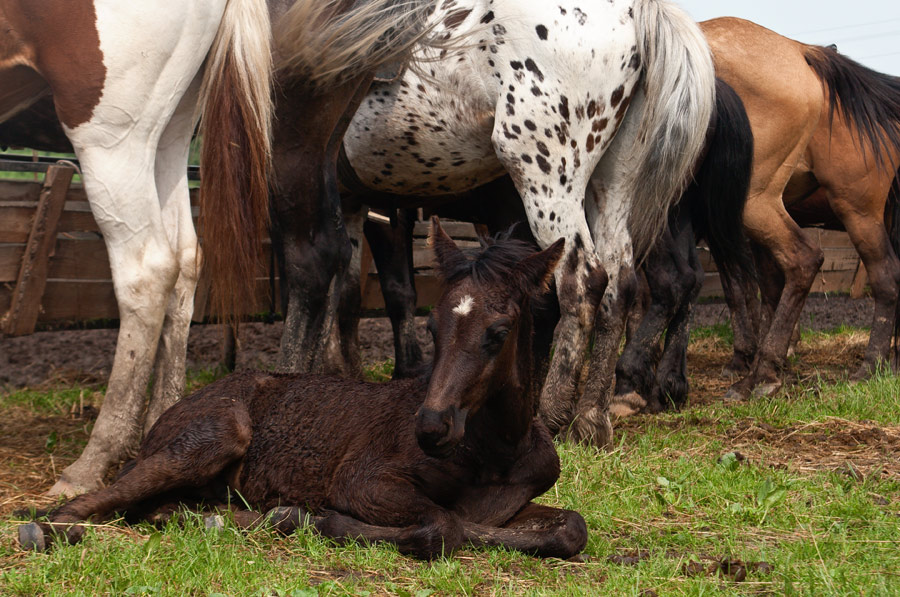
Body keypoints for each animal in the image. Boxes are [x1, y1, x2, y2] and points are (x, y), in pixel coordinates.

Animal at [19, 219, 592, 560]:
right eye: (432, 327)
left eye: (498, 332)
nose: (431, 428)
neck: (496, 450)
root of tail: (164, 419)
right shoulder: (361, 481)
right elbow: (443, 525)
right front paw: (322, 520)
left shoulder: (515, 504)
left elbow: (569, 528)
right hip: (213, 438)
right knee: (83, 505)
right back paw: (47, 530)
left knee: (161, 509)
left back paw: (230, 519)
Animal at [270, 0, 712, 444]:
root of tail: (634, 10)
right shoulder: (354, 204)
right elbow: (345, 290)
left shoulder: (366, 205)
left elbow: (360, 286)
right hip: (614, 182)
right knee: (622, 284)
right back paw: (592, 417)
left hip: (545, 176)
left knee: (586, 281)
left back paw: (556, 411)